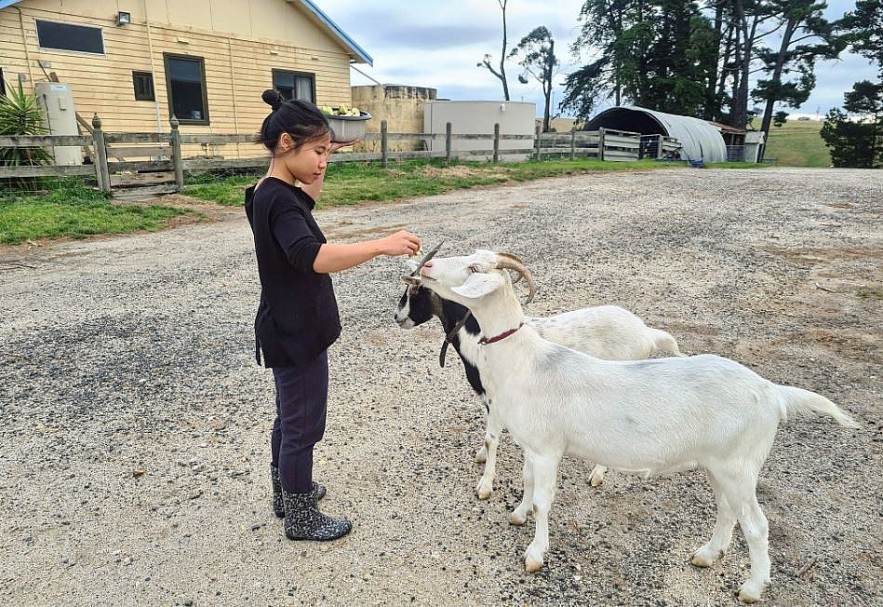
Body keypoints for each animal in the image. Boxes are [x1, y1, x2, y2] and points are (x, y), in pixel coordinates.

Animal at [396, 278, 684, 496]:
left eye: (416, 290)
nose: (397, 317)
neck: (478, 336)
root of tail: (646, 333)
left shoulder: (496, 399)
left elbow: (492, 439)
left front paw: (485, 485)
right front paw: (481, 456)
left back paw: (597, 474)